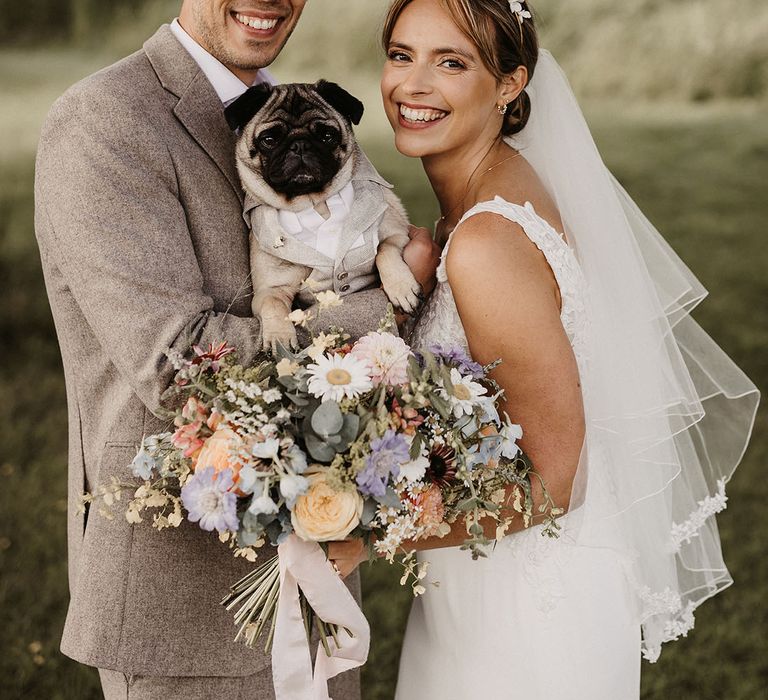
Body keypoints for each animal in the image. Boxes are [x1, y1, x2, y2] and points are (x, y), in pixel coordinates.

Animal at [225, 80, 424, 352]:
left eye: (327, 136)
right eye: (269, 139)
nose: (299, 145)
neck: (315, 203)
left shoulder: (398, 234)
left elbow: (385, 250)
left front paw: (401, 288)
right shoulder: (270, 289)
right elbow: (274, 305)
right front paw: (279, 337)